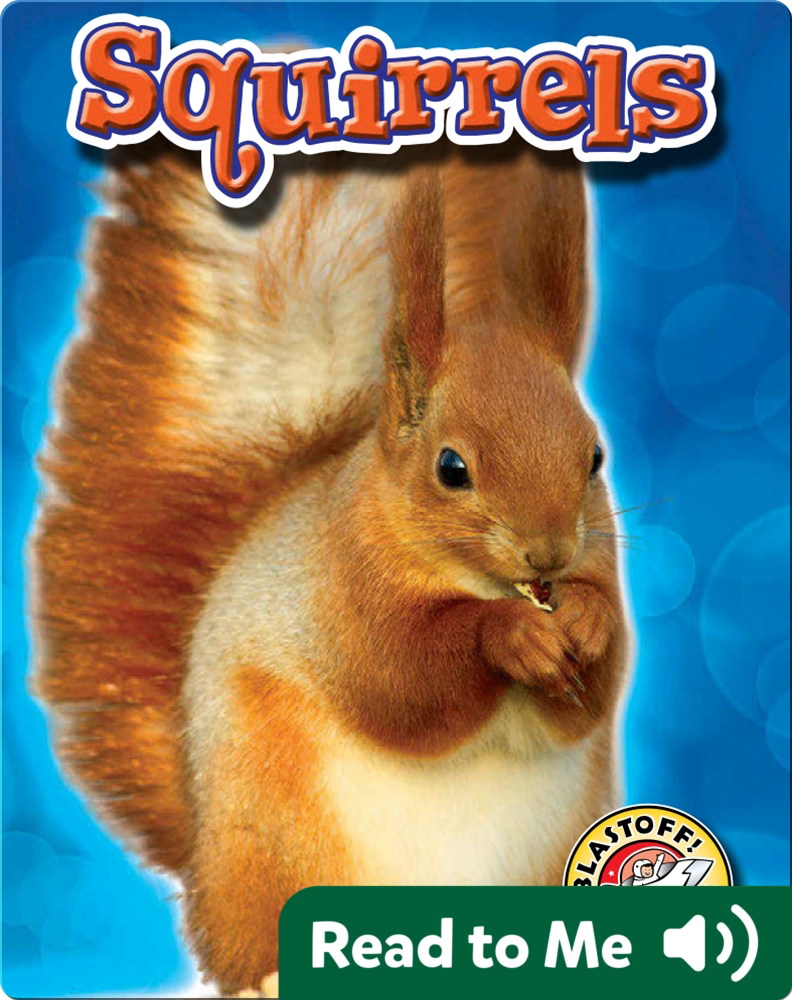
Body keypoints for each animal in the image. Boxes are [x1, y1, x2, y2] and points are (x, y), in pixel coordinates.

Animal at [33, 137, 628, 995]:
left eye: (596, 456)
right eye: (452, 468)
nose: (549, 552)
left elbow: (594, 694)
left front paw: (583, 620)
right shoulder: (341, 591)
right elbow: (404, 680)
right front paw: (511, 634)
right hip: (277, 850)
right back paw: (271, 976)